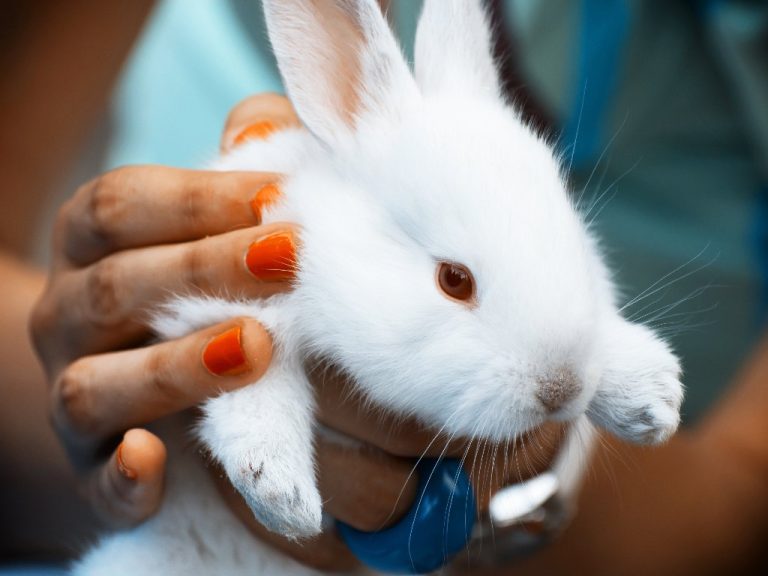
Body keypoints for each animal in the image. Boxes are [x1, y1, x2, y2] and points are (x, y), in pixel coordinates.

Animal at [73, 0, 684, 572]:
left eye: (571, 237)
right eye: (454, 281)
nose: (558, 389)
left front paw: (652, 400)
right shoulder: (223, 314)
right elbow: (255, 386)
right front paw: (284, 497)